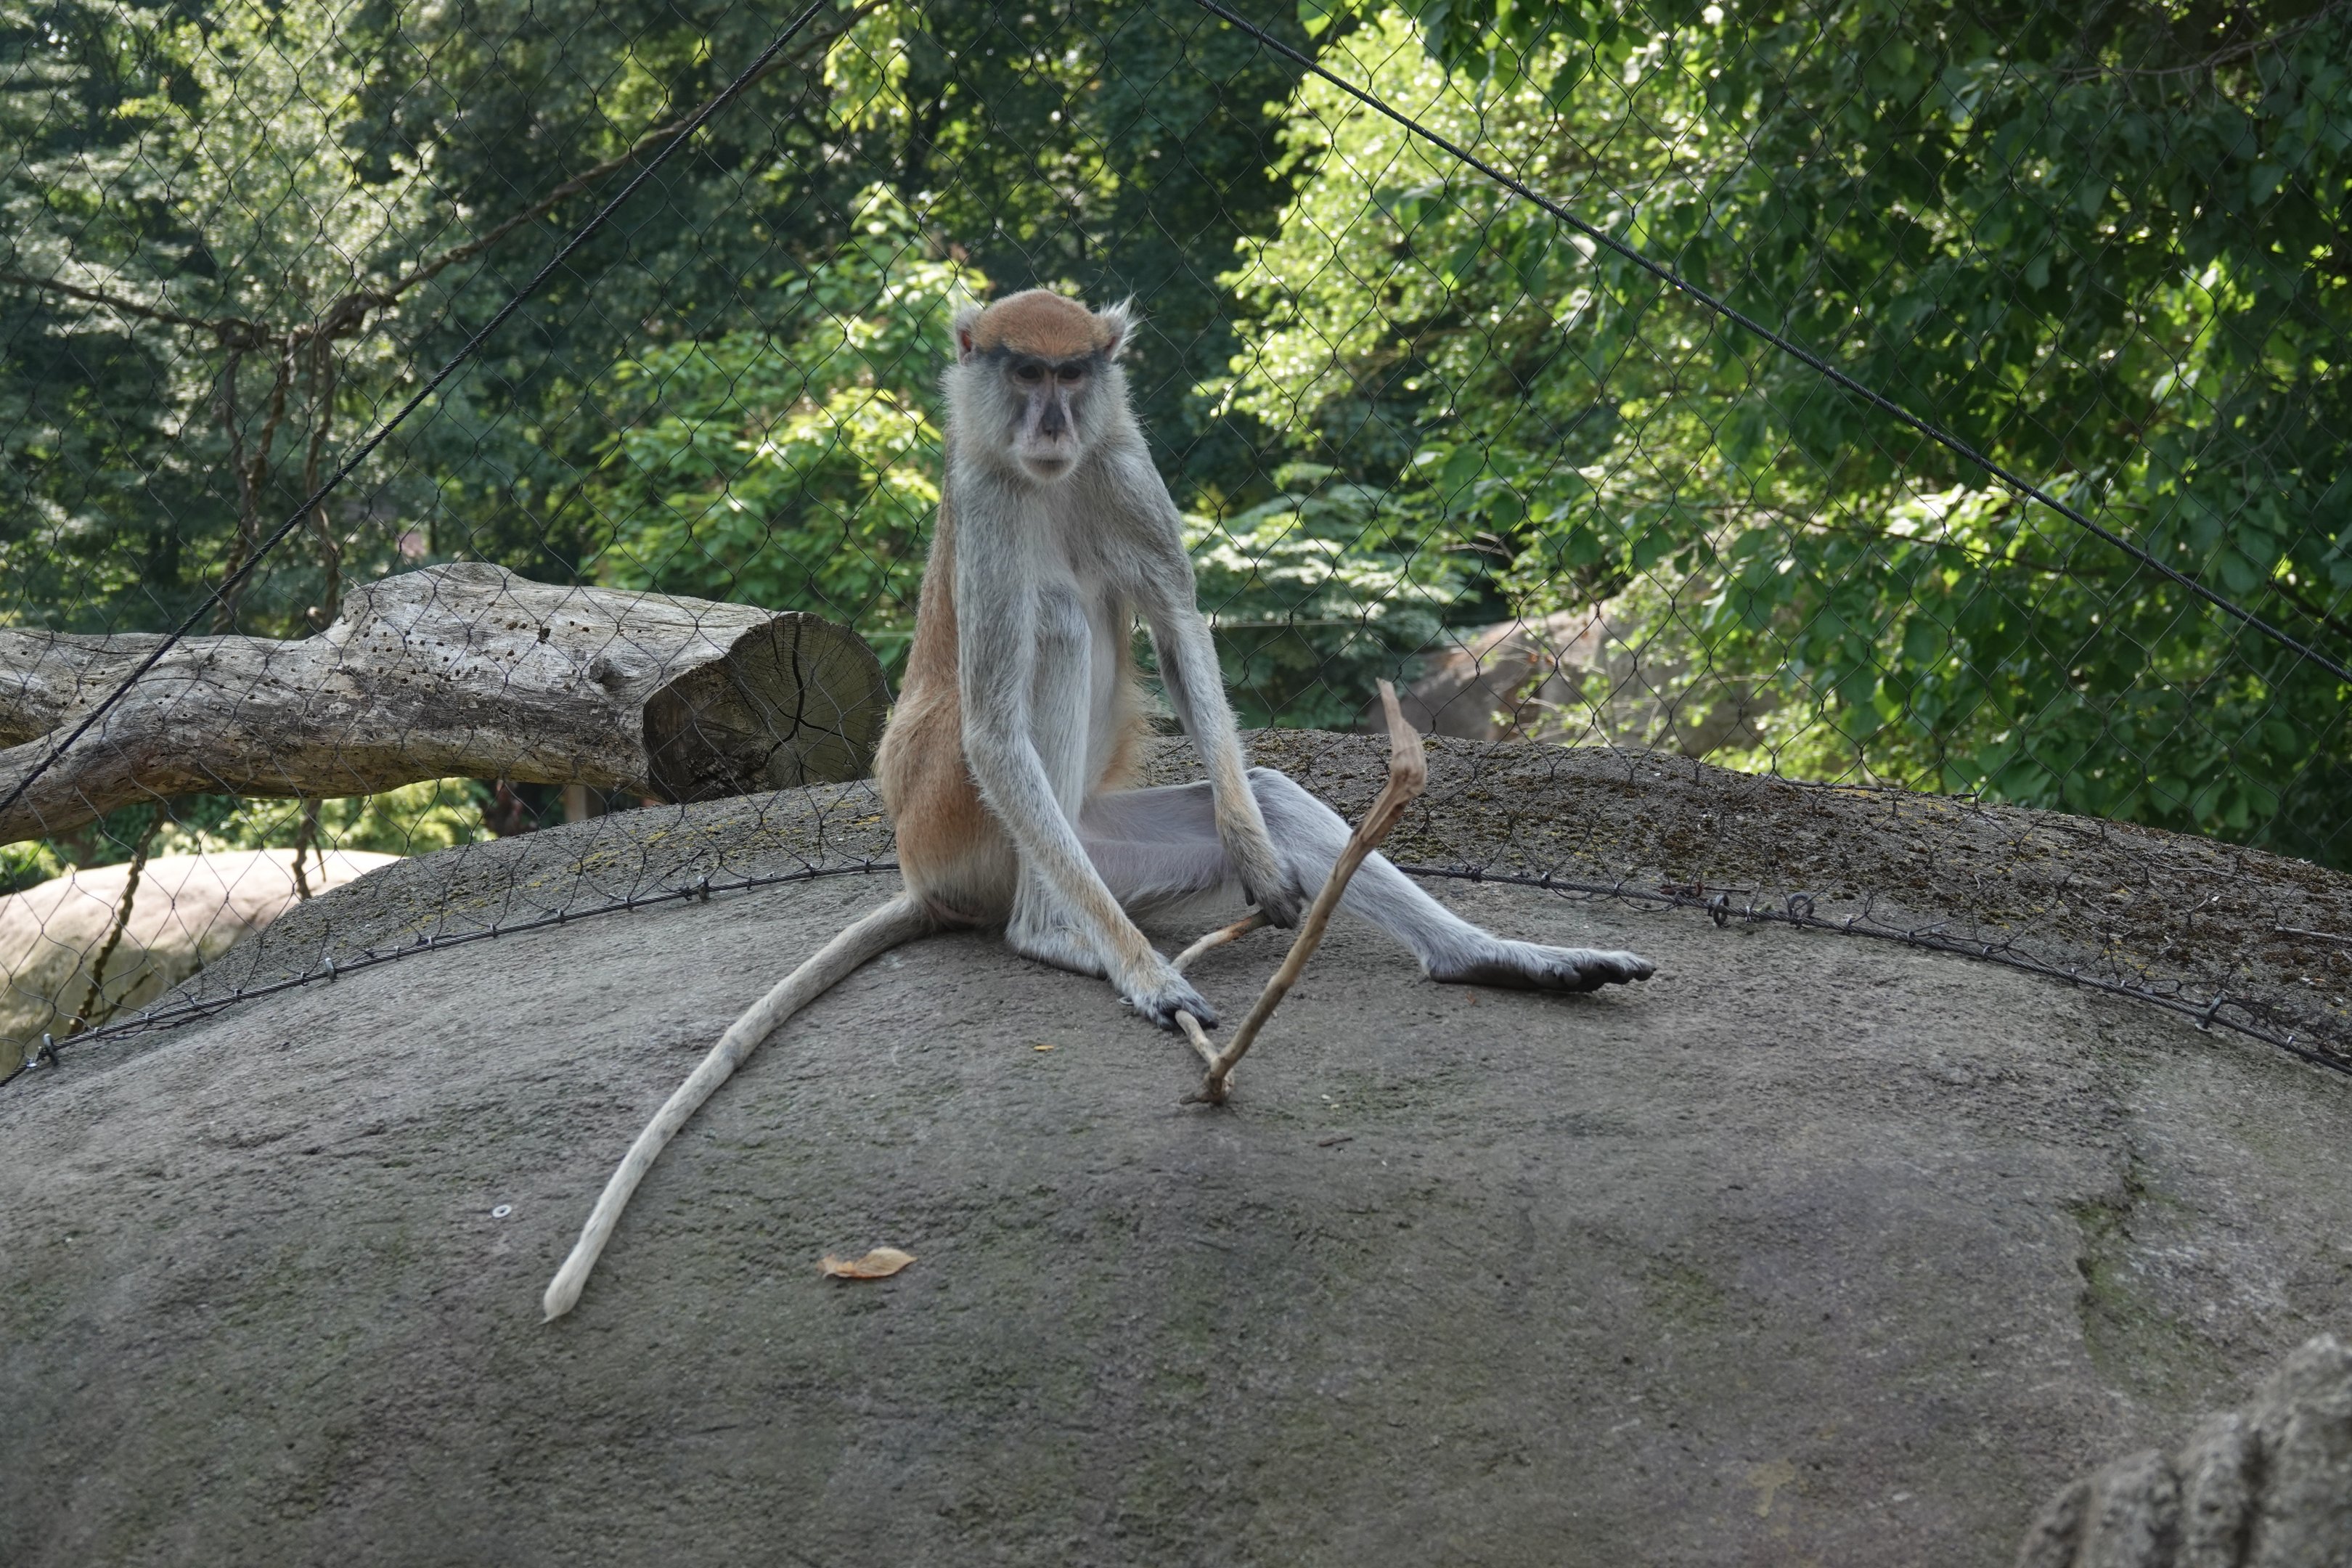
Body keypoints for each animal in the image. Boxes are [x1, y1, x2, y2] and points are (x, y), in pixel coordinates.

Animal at [541, 289, 1653, 1321]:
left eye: (1074, 376)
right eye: (1026, 373)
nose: (1051, 424)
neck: (1052, 476)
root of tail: (922, 872)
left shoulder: (1126, 467)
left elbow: (1177, 623)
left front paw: (1261, 862)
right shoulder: (989, 509)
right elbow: (1002, 719)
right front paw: (1148, 979)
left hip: (1098, 848)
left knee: (1266, 787)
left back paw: (1483, 953)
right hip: (966, 822)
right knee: (1059, 624)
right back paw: (1054, 933)